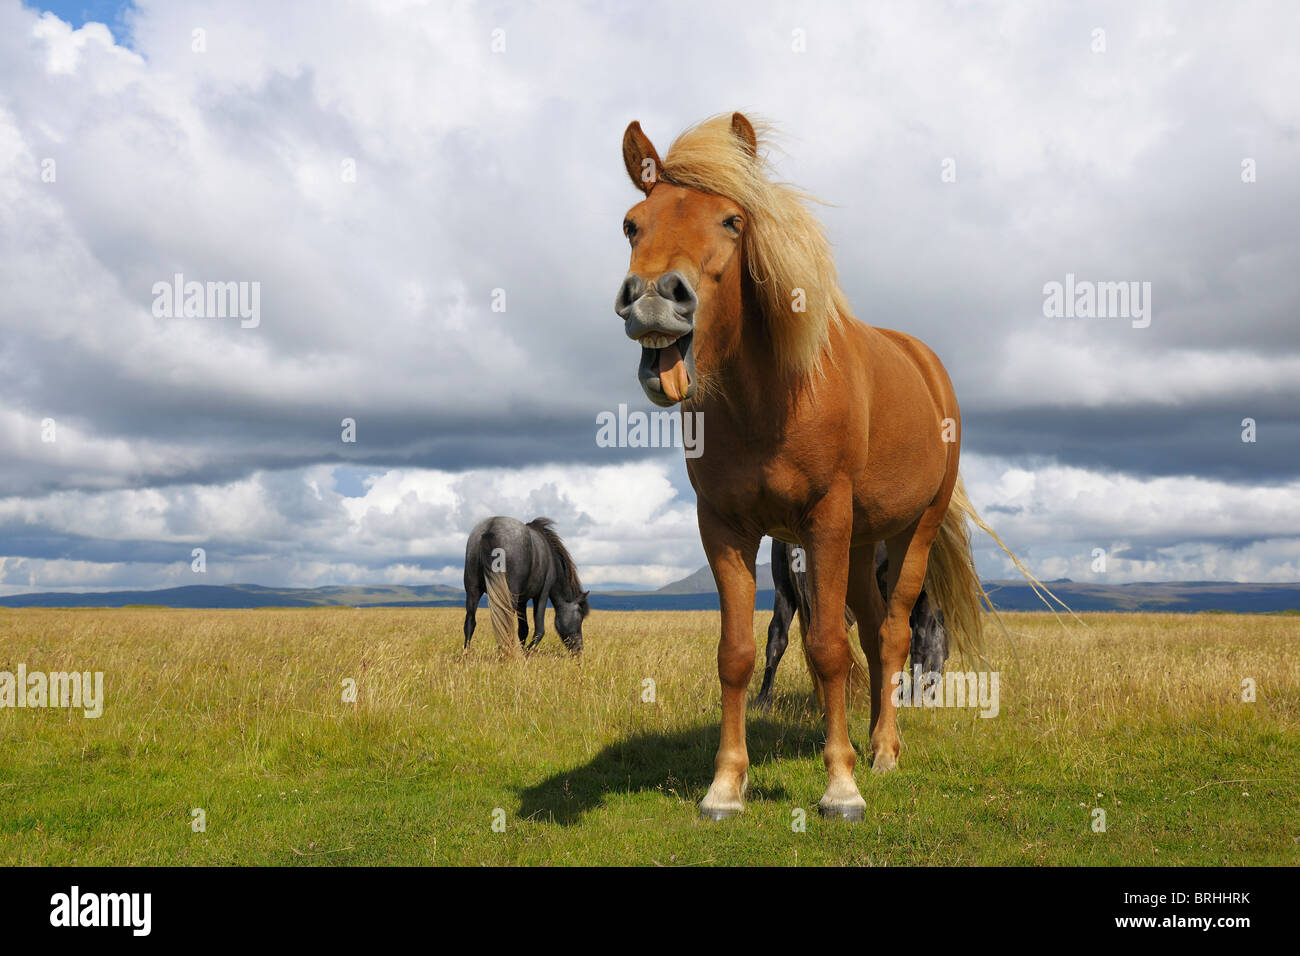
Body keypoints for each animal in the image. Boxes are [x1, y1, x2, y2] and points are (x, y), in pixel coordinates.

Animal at [462, 515, 590, 658]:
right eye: (580, 618)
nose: (579, 650)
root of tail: (491, 528)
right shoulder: (542, 594)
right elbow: (539, 630)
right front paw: (526, 654)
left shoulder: (522, 601)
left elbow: (523, 630)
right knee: (506, 624)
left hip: (473, 591)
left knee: (470, 622)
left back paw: (466, 655)